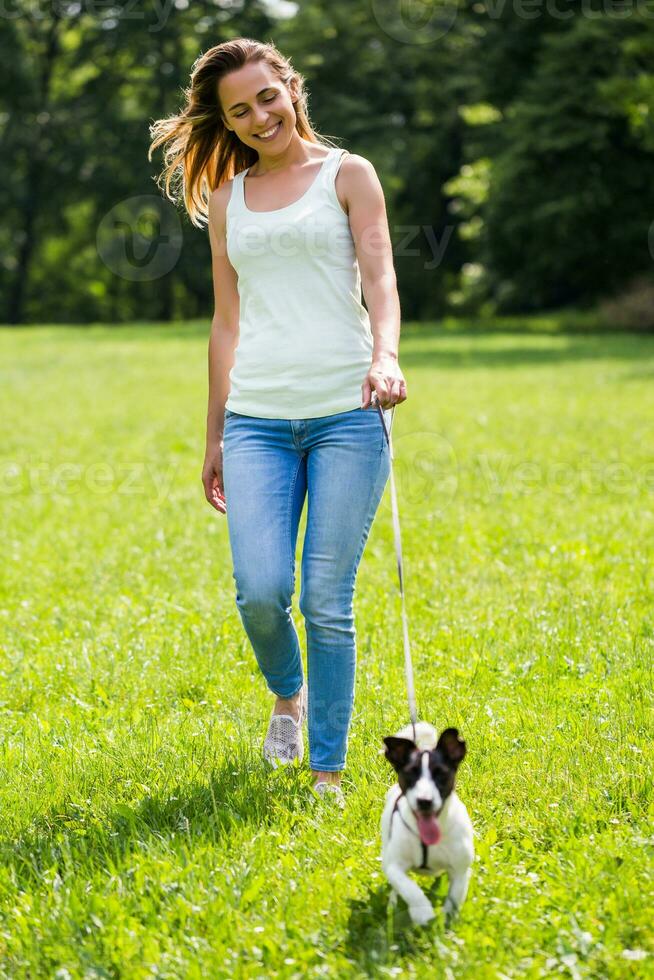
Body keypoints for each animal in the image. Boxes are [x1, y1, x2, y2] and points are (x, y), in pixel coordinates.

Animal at [380, 720, 476, 928]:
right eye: (410, 773)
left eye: (441, 773)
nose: (424, 801)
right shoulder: (394, 866)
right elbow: (410, 889)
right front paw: (423, 913)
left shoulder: (460, 870)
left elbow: (454, 898)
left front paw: (446, 921)